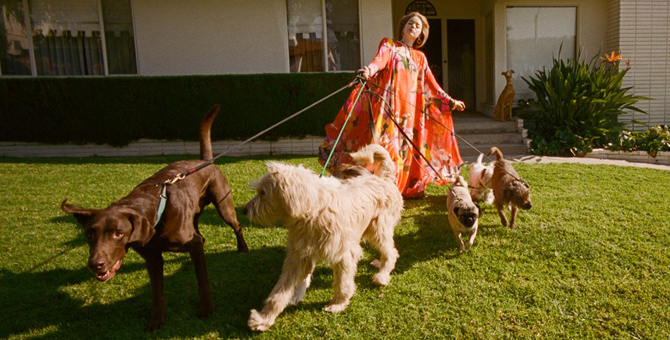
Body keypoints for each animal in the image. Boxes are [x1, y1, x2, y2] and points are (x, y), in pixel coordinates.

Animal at [60, 104, 248, 332]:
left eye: (118, 233)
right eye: (89, 234)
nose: (96, 264)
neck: (155, 219)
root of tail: (204, 161)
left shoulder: (190, 243)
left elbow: (202, 281)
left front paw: (206, 308)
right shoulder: (152, 258)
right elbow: (157, 292)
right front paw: (157, 319)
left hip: (223, 205)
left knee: (235, 226)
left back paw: (242, 248)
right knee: (201, 238)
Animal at [245, 144, 404, 332]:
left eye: (263, 193)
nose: (244, 211)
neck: (313, 211)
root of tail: (383, 179)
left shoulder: (344, 254)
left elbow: (342, 282)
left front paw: (338, 303)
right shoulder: (298, 256)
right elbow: (280, 291)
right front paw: (264, 318)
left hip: (379, 229)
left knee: (391, 252)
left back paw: (382, 276)